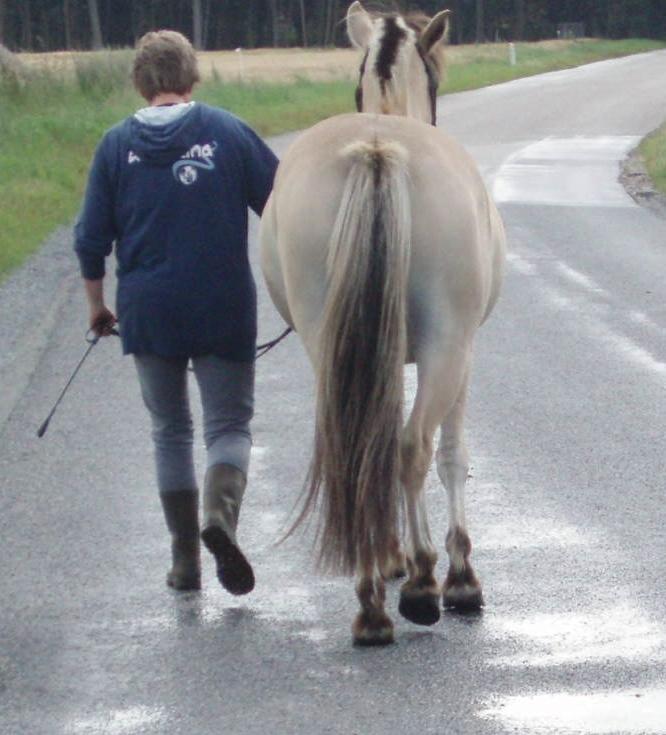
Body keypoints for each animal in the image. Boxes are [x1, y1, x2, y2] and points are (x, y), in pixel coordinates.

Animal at [258, 1, 504, 644]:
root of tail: (376, 149)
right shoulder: (466, 355)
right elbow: (451, 456)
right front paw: (453, 576)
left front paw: (394, 555)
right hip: (447, 346)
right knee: (415, 445)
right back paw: (422, 588)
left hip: (328, 342)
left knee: (358, 448)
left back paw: (371, 603)